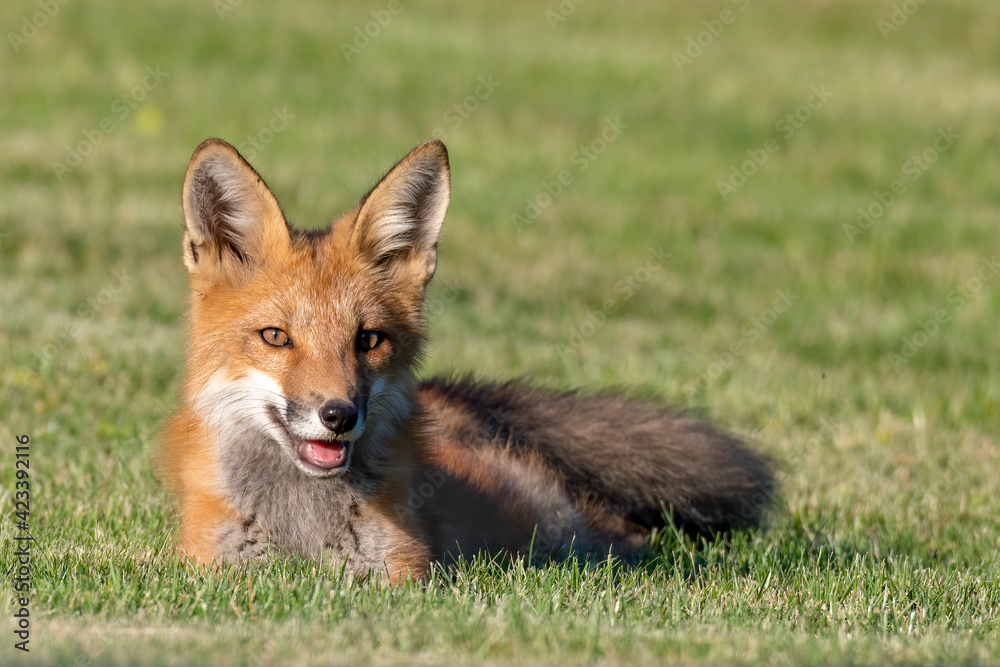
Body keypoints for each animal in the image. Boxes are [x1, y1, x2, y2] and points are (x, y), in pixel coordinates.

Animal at [157, 138, 775, 583]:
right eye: (276, 337)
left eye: (369, 340)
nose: (339, 415)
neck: (302, 529)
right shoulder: (214, 568)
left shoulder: (403, 573)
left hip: (565, 529)